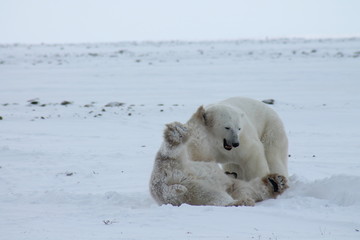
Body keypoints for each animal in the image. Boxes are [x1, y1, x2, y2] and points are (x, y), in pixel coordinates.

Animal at [148, 122, 286, 206]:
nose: (233, 172)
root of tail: (165, 186)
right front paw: (277, 182)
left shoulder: (233, 186)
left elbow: (248, 189)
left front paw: (277, 182)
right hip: (188, 183)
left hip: (185, 181)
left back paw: (175, 134)